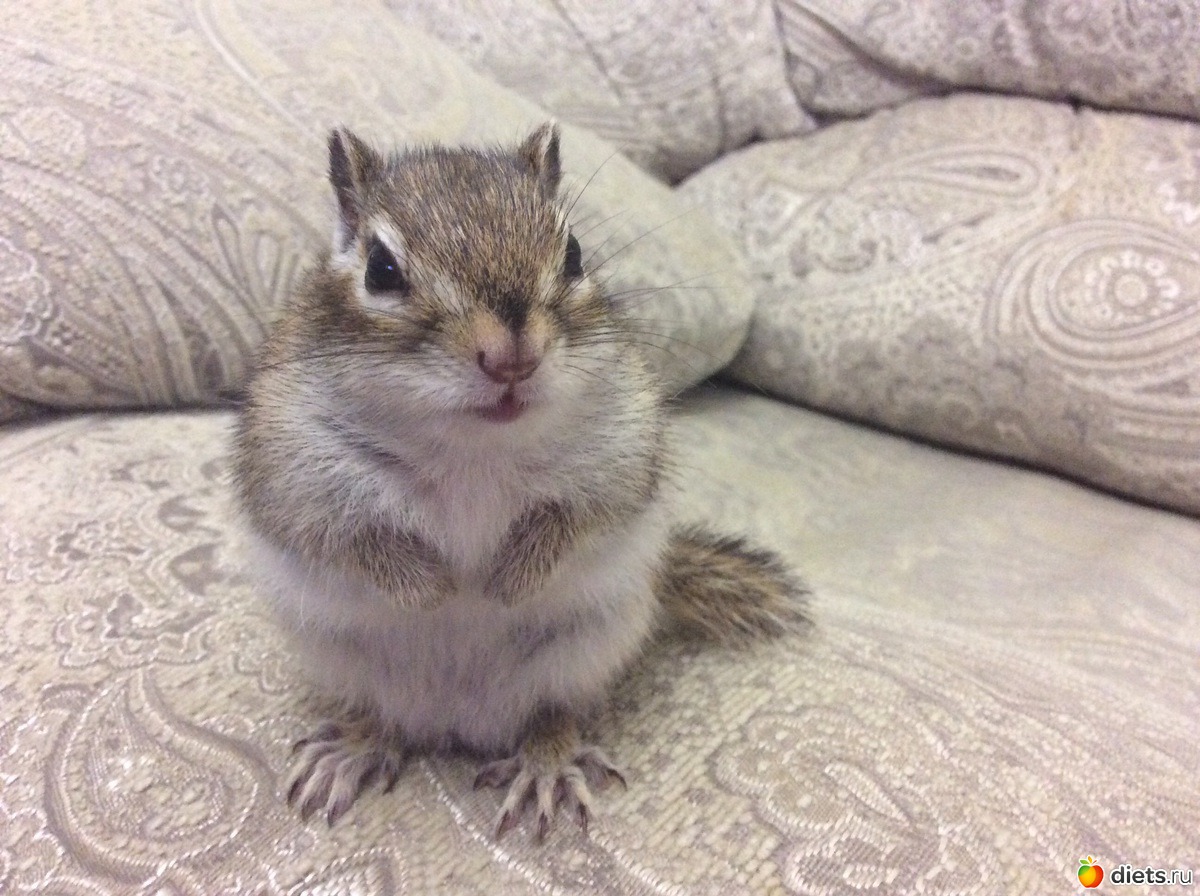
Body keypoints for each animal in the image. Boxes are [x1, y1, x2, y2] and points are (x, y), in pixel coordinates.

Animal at [232, 123, 809, 841]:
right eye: (380, 270)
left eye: (575, 254)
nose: (511, 357)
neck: (472, 450)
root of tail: (456, 719)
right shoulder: (293, 468)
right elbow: (353, 537)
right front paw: (432, 589)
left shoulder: (619, 453)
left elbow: (576, 516)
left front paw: (509, 579)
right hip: (349, 660)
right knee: (386, 717)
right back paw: (358, 745)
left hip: (578, 654)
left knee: (550, 713)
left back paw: (544, 764)